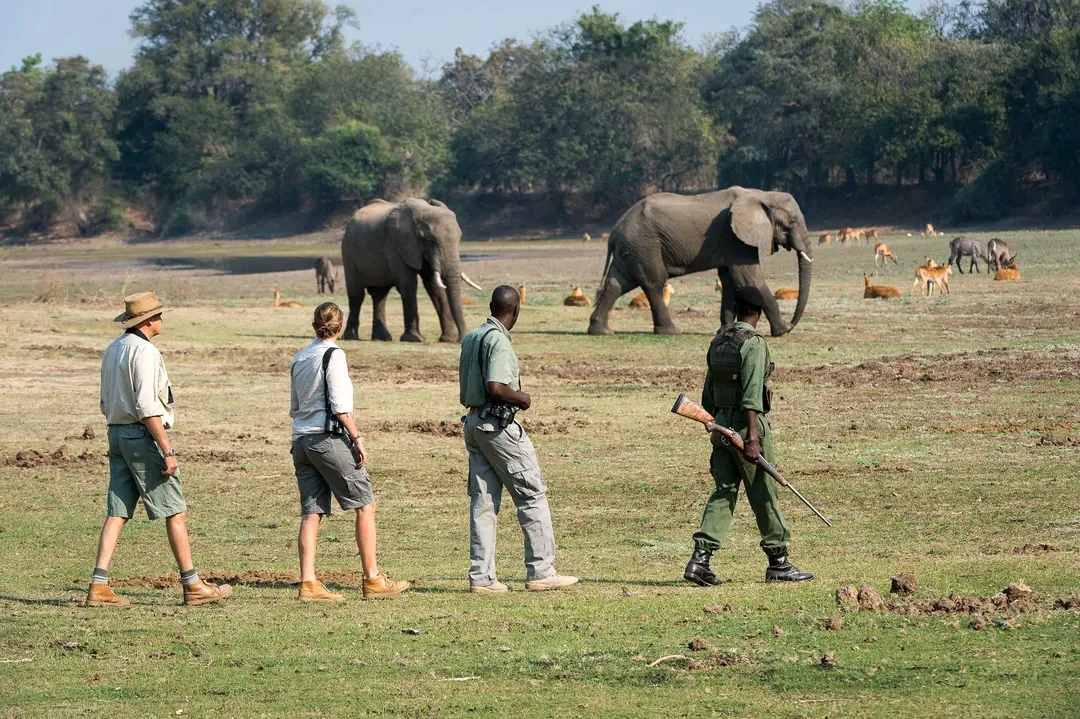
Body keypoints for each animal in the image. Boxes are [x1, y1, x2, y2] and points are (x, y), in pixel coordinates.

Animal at [343, 196, 483, 341]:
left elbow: (434, 287)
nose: (462, 338)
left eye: (459, 238)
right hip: (348, 251)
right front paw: (414, 338)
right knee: (357, 294)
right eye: (430, 240)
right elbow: (408, 284)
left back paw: (382, 338)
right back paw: (351, 337)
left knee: (380, 295)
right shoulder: (396, 245)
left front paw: (447, 339)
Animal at [591, 185, 812, 334]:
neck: (761, 194)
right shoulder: (735, 238)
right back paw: (670, 332)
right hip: (644, 246)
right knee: (654, 283)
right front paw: (782, 331)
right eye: (792, 222)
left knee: (616, 284)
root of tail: (613, 232)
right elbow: (749, 279)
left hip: (631, 250)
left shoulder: (730, 242)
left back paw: (600, 331)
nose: (792, 323)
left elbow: (729, 280)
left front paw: (724, 331)